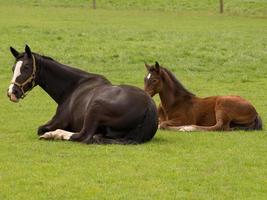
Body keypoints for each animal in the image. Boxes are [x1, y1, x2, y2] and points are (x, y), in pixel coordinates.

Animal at [6, 44, 159, 144]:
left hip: (95, 108)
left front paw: (50, 133)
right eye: (13, 68)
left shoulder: (58, 121)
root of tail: (149, 107)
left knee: (83, 136)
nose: (12, 92)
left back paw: (55, 134)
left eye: (26, 67)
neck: (74, 86)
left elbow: (40, 129)